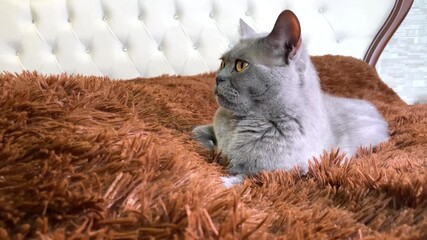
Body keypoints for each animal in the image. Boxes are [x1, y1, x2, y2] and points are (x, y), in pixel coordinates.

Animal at [194, 10, 392, 187]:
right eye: (222, 63)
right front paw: (211, 147)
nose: (217, 78)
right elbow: (197, 133)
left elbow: (239, 177)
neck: (238, 124)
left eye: (241, 65)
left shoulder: (277, 172)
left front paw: (213, 180)